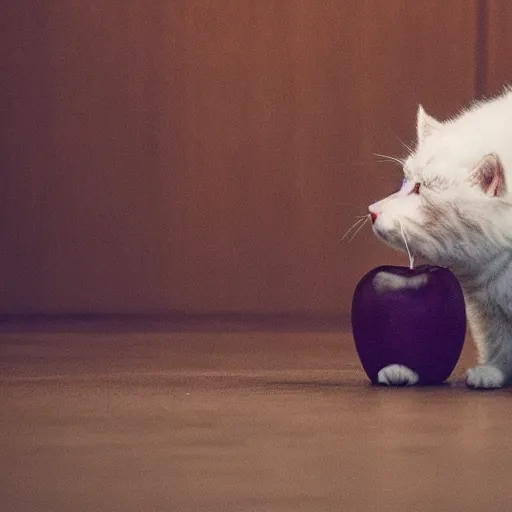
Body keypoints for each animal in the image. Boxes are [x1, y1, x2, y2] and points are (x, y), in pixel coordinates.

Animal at [368, 90, 512, 390]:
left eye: (420, 189)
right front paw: (494, 370)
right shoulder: (487, 305)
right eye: (405, 182)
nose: (372, 211)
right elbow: (498, 341)